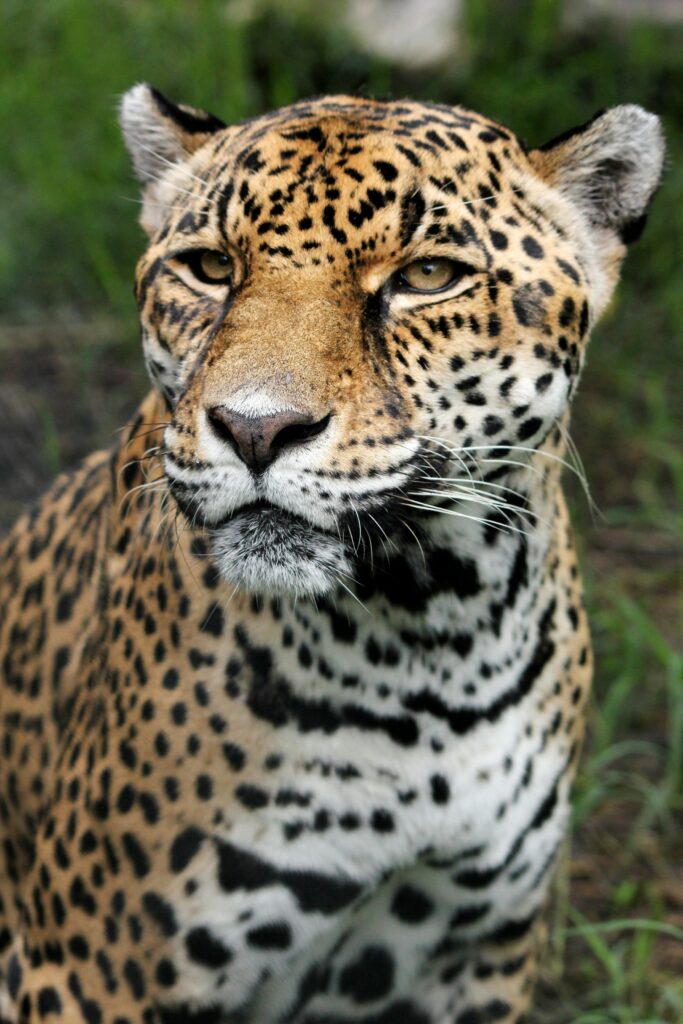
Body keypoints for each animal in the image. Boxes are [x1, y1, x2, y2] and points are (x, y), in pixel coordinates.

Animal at [0, 85, 664, 1024]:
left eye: (427, 277)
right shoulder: (87, 968)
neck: (431, 637)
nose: (255, 428)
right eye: (210, 267)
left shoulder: (481, 954)